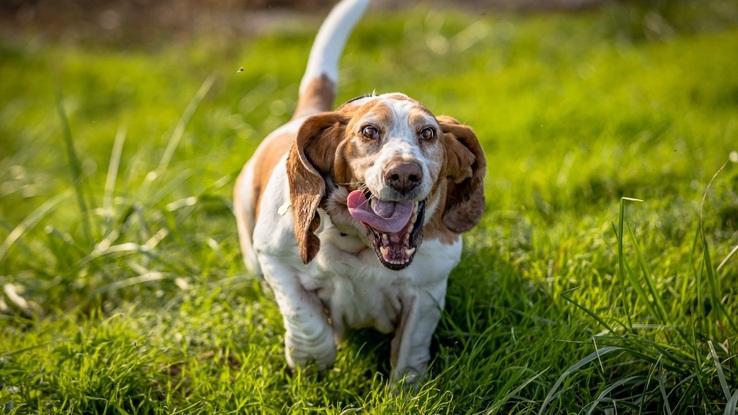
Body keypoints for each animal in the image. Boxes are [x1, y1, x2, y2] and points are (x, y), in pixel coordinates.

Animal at [231, 0, 484, 384]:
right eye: (368, 131)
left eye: (428, 133)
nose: (404, 174)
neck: (360, 248)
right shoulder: (276, 260)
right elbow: (306, 321)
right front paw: (310, 362)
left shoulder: (427, 287)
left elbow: (410, 346)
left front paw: (406, 387)